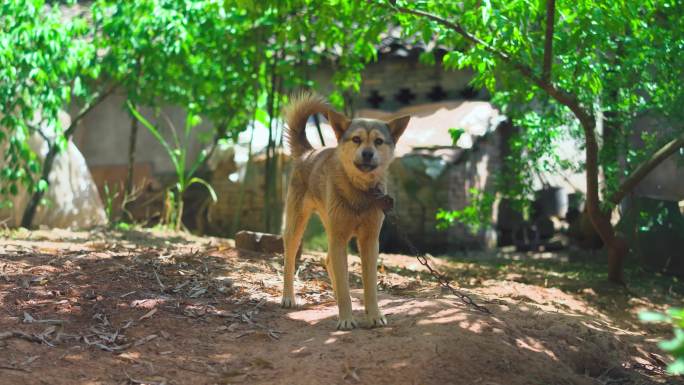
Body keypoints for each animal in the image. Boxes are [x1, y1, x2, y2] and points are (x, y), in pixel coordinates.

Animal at [280, 91, 408, 328]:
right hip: (296, 228)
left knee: (328, 261)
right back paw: (288, 297)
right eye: (356, 139)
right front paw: (346, 319)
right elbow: (345, 284)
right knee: (289, 260)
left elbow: (370, 286)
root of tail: (309, 152)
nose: (367, 154)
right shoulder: (339, 238)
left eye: (378, 141)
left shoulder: (369, 241)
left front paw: (374, 315)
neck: (361, 193)